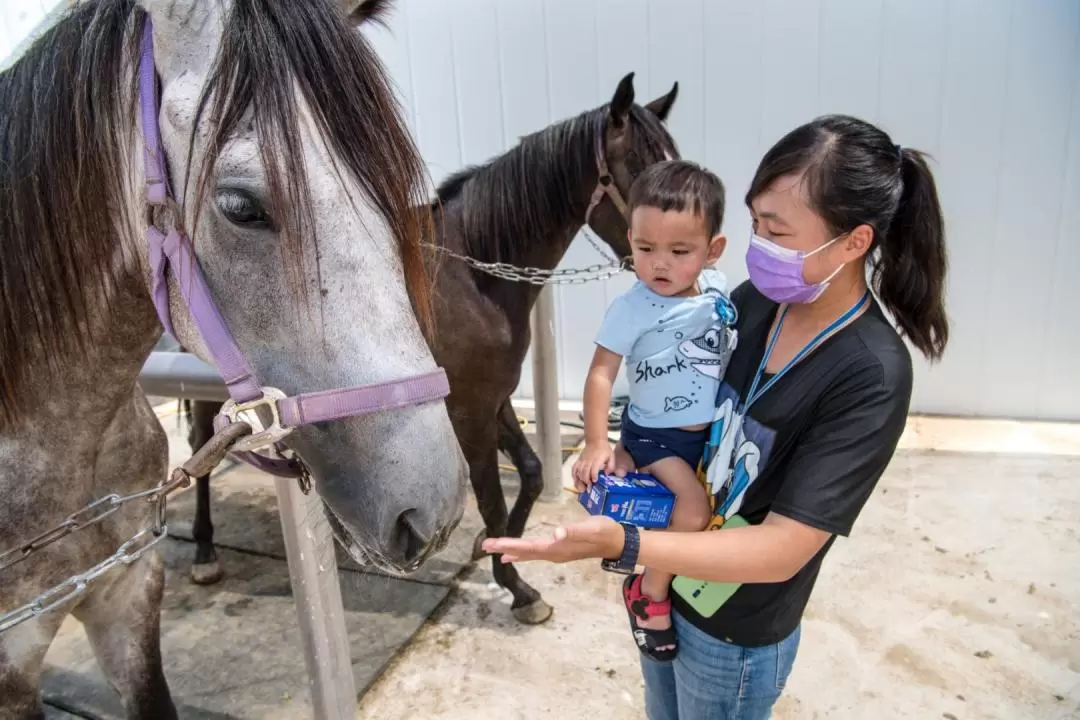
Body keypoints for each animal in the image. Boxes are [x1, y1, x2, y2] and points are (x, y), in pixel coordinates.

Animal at [181, 74, 678, 626]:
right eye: (642, 170)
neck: (471, 277)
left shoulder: (493, 400)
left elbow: (529, 474)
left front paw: (496, 548)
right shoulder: (469, 414)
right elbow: (491, 498)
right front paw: (516, 586)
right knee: (201, 450)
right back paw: (203, 551)